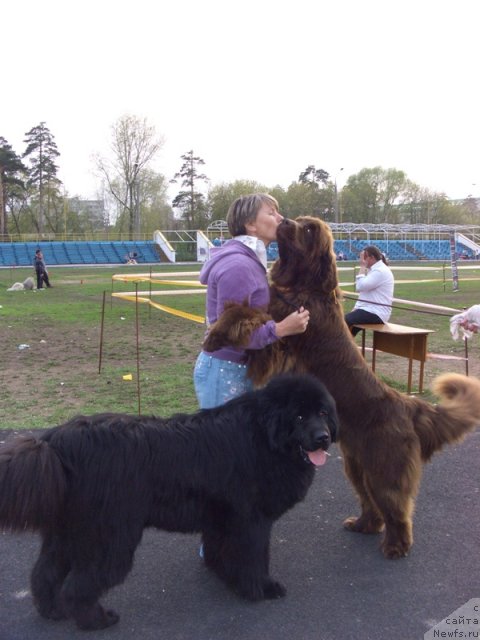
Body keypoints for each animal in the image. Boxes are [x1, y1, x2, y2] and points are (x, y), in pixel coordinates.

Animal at [0, 376, 338, 632]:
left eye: (323, 413)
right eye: (299, 416)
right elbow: (255, 557)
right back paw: (97, 621)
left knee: (44, 573)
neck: (265, 436)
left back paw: (52, 611)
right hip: (110, 537)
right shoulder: (250, 520)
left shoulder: (223, 516)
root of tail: (56, 443)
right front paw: (261, 589)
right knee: (78, 587)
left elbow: (221, 550)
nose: (323, 438)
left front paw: (224, 576)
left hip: (69, 532)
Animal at [204, 218, 480, 556]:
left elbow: (246, 315)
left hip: (384, 467)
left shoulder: (282, 325)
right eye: (299, 221)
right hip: (357, 466)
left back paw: (395, 546)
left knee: (396, 507)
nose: (284, 221)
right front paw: (215, 333)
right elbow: (240, 312)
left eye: (308, 229)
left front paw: (215, 336)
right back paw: (363, 525)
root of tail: (406, 404)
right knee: (371, 503)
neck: (304, 286)